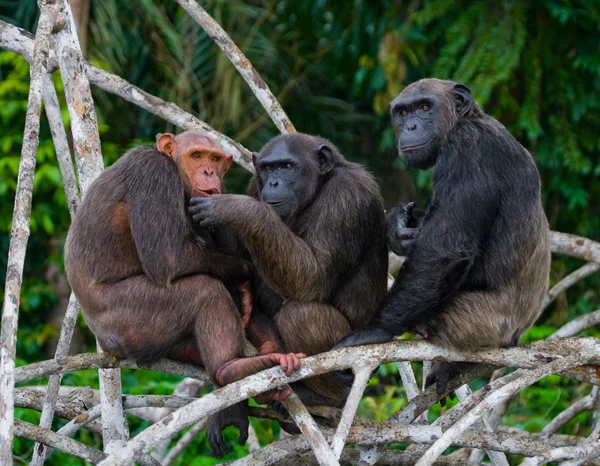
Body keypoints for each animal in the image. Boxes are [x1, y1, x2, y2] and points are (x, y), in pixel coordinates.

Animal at [64, 130, 304, 456]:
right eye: (196, 155)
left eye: (214, 158)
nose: (209, 171)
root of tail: (106, 344)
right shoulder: (152, 174)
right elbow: (170, 258)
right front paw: (246, 274)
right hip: (131, 323)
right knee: (205, 290)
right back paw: (231, 368)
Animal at [190, 132, 392, 408]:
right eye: (267, 168)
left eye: (287, 166)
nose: (274, 183)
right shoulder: (255, 186)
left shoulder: (348, 197)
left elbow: (313, 276)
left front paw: (236, 207)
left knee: (302, 315)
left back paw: (324, 396)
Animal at [336, 78, 552, 398]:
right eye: (403, 112)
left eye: (425, 107)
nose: (411, 125)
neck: (465, 121)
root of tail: (516, 337)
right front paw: (397, 224)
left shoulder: (468, 150)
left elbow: (444, 249)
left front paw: (374, 330)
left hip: (479, 322)